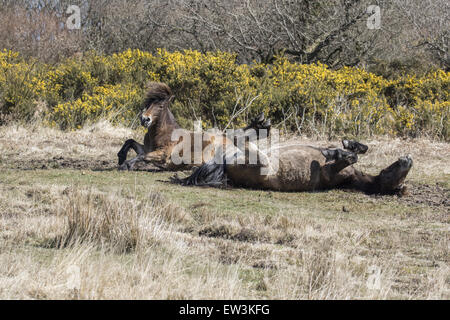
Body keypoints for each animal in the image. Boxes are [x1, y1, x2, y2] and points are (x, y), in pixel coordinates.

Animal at [118, 83, 268, 172]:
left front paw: (127, 164)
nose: (145, 119)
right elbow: (131, 142)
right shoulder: (147, 148)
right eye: (148, 103)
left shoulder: (163, 153)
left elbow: (143, 155)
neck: (161, 133)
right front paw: (121, 157)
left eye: (160, 106)